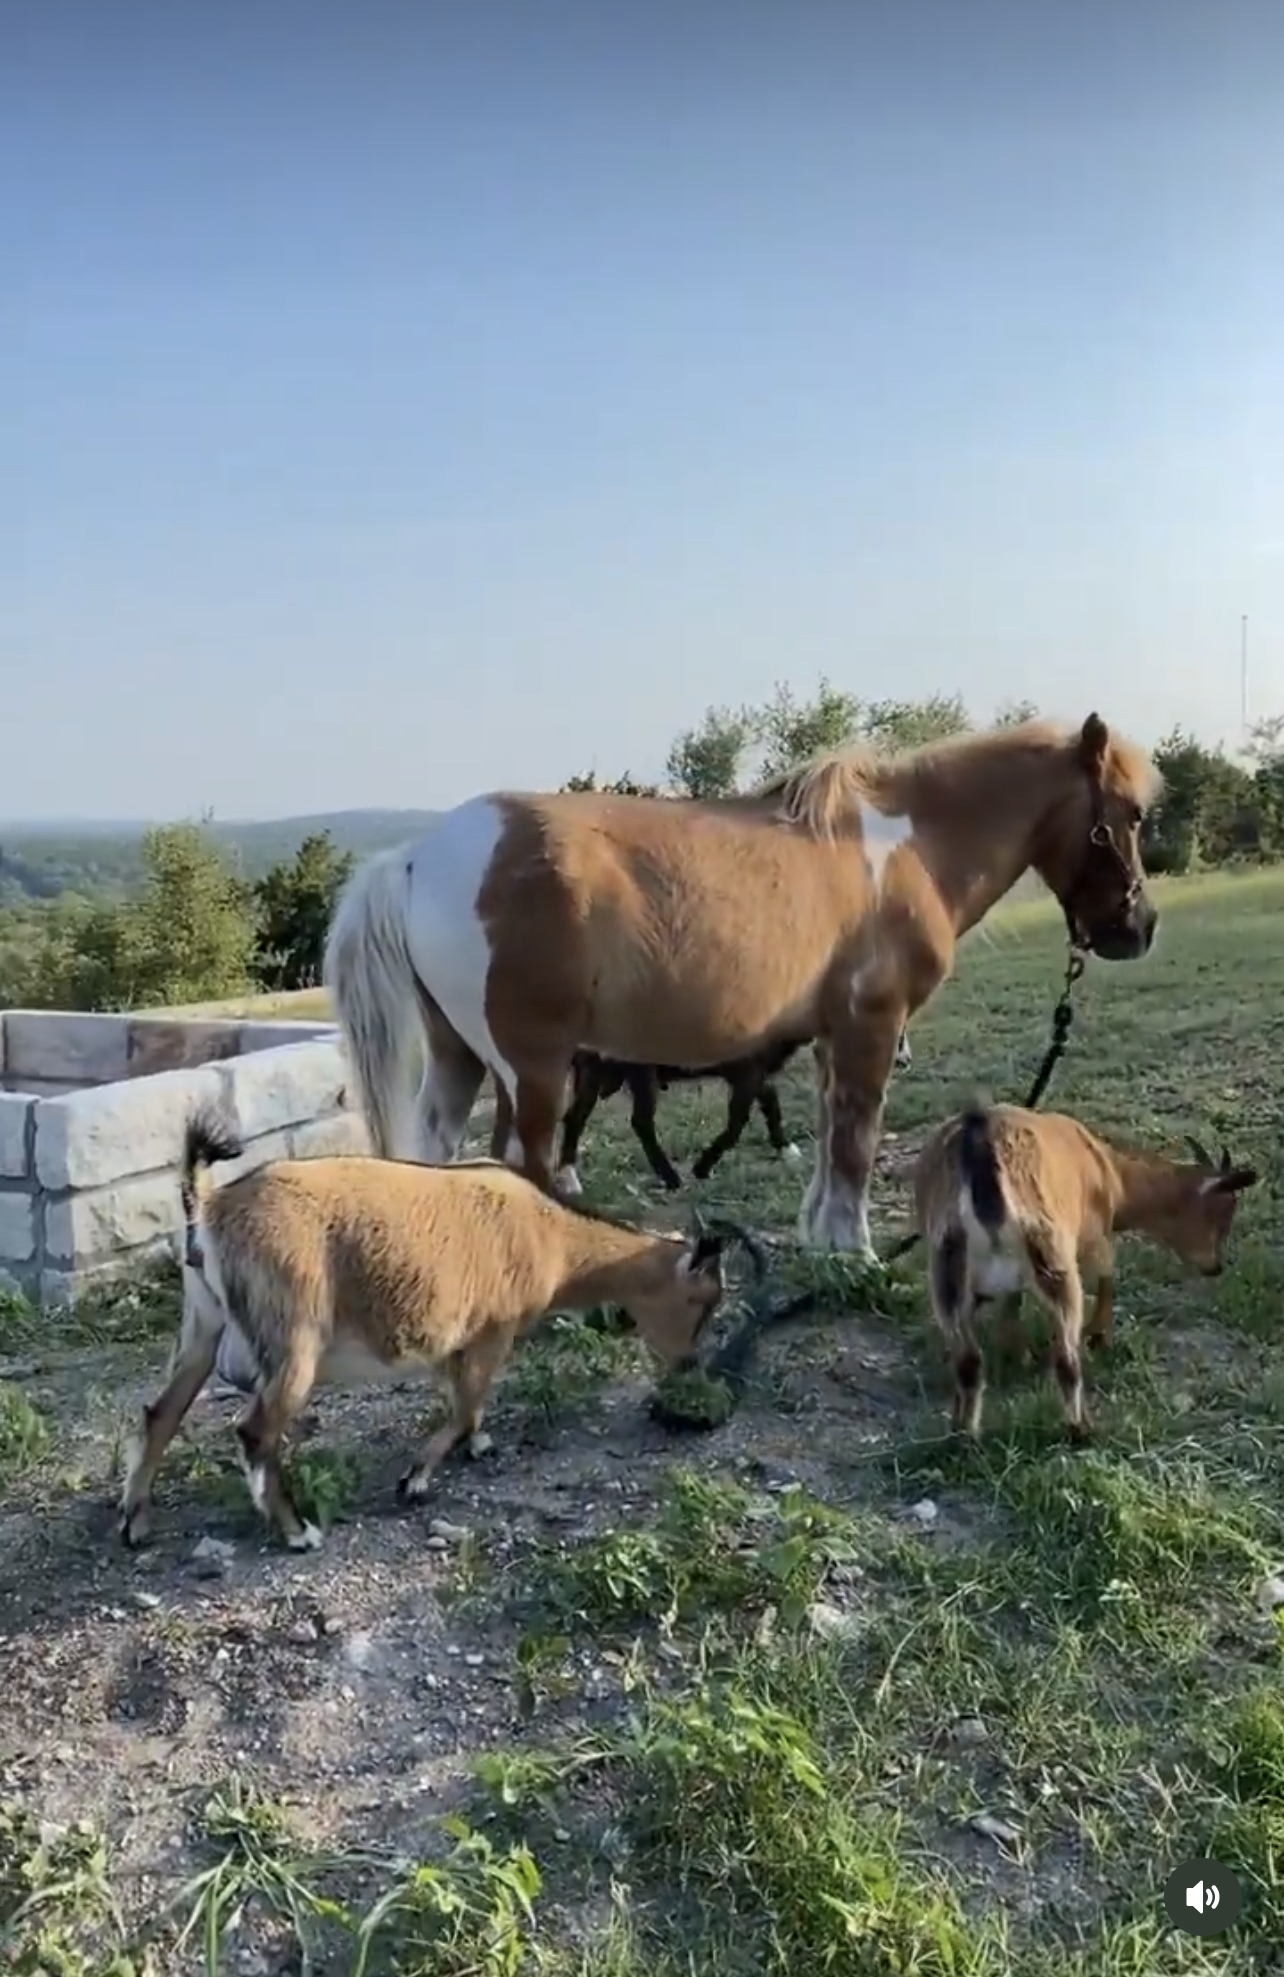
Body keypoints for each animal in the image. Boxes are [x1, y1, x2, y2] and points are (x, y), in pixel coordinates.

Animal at [120, 1108, 742, 1552]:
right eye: (702, 1301)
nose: (692, 1366)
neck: (551, 1238)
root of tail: (209, 1205)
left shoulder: (459, 1340)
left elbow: (466, 1401)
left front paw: (477, 1446)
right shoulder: (493, 1330)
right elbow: (464, 1408)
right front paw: (415, 1480)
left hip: (203, 1324)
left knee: (161, 1411)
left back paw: (136, 1523)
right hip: (292, 1333)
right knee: (255, 1431)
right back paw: (298, 1532)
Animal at [491, 1026, 914, 1196]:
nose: (904, 1060)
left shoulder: (750, 1071)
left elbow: (770, 1102)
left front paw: (785, 1148)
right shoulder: (746, 1070)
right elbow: (737, 1121)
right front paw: (703, 1166)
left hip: (597, 1069)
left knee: (576, 1117)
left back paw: (569, 1177)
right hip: (633, 1068)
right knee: (639, 1121)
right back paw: (671, 1176)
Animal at [911, 1102, 1258, 1440]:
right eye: (1223, 1212)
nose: (1215, 1266)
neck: (1108, 1171)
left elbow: (1011, 1309)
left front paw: (1018, 1355)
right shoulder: (1094, 1235)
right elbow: (1107, 1275)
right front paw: (1098, 1336)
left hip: (947, 1266)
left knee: (967, 1361)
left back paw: (964, 1432)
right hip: (1052, 1256)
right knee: (1065, 1358)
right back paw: (1082, 1428)